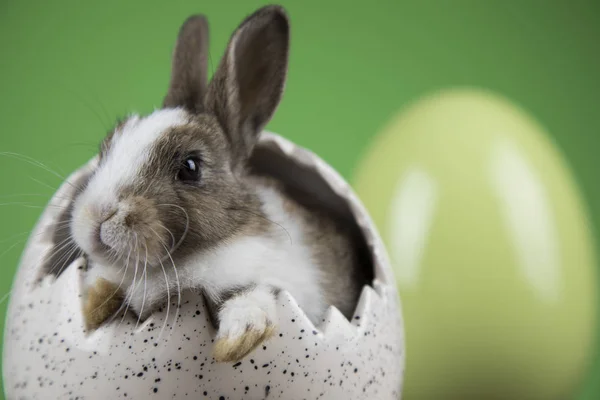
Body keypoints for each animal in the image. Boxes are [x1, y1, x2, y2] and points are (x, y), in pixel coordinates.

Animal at [58, 5, 372, 362]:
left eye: (190, 167)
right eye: (107, 147)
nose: (98, 215)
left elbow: (254, 298)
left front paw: (234, 343)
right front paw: (95, 299)